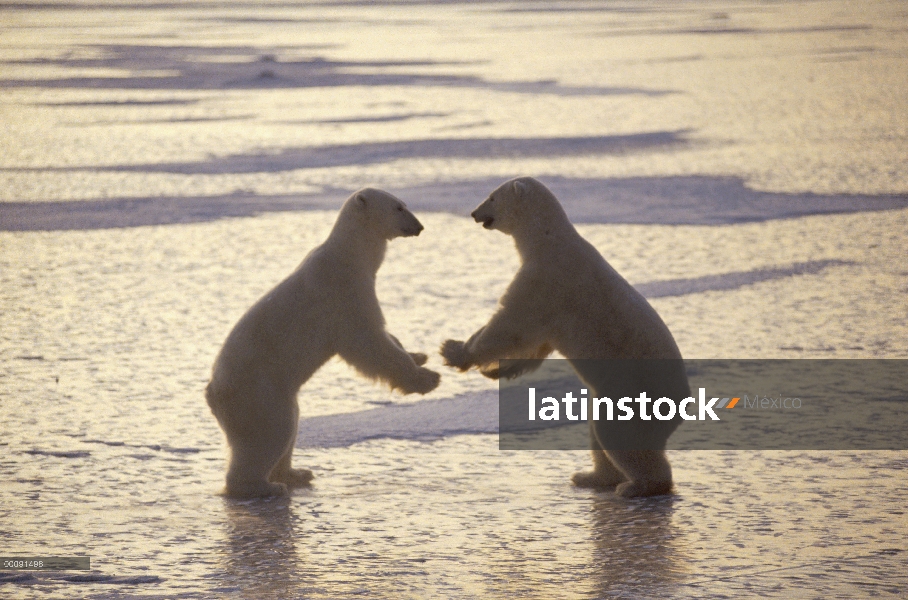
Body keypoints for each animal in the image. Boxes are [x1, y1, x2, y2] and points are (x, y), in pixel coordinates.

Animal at [210, 190, 444, 500]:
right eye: (398, 207)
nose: (419, 226)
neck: (348, 255)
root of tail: (212, 392)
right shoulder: (344, 293)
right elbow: (368, 341)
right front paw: (428, 378)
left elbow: (385, 337)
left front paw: (419, 355)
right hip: (258, 393)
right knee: (270, 433)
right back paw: (263, 486)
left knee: (290, 426)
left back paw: (296, 473)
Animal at [440, 176, 688, 500]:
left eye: (492, 197)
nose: (473, 213)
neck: (548, 238)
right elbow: (536, 344)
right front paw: (495, 370)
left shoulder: (546, 279)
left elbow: (511, 325)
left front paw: (454, 350)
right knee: (599, 432)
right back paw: (590, 477)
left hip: (636, 392)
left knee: (618, 434)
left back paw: (636, 486)